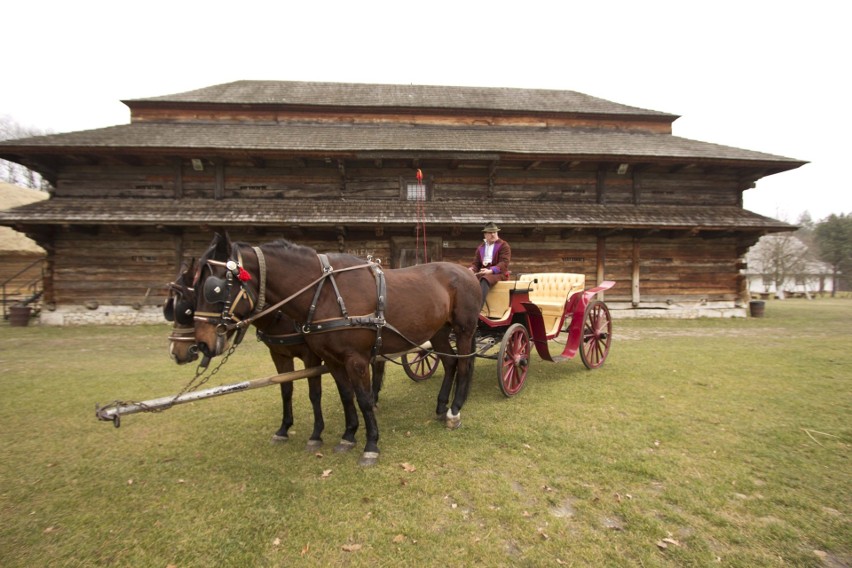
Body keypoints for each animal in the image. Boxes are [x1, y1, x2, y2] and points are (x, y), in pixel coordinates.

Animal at [163, 258, 382, 448]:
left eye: (186, 308)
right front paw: (284, 428)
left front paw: (316, 434)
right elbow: (285, 390)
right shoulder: (279, 354)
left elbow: (314, 393)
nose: (176, 353)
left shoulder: (311, 356)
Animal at [194, 233, 482, 464]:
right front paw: (348, 435)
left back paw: (455, 410)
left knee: (464, 365)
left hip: (464, 329)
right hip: (440, 331)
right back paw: (442, 406)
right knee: (450, 363)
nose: (202, 343)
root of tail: (467, 272)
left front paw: (371, 444)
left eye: (214, 288)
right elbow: (345, 395)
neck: (324, 294)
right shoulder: (331, 360)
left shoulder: (356, 359)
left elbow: (364, 399)